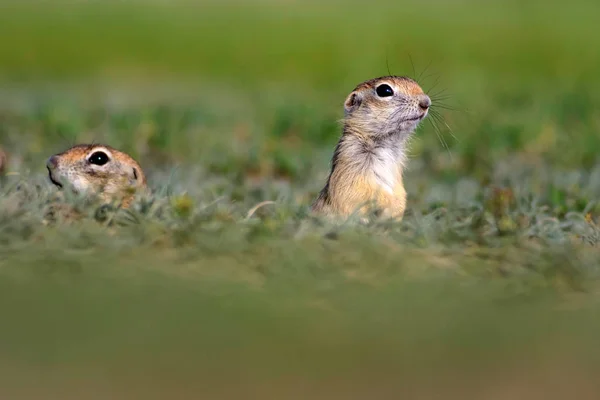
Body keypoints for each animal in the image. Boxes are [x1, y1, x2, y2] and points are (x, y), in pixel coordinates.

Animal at [310, 75, 432, 219]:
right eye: (384, 90)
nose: (426, 102)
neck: (386, 143)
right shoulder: (351, 163)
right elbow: (359, 192)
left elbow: (400, 192)